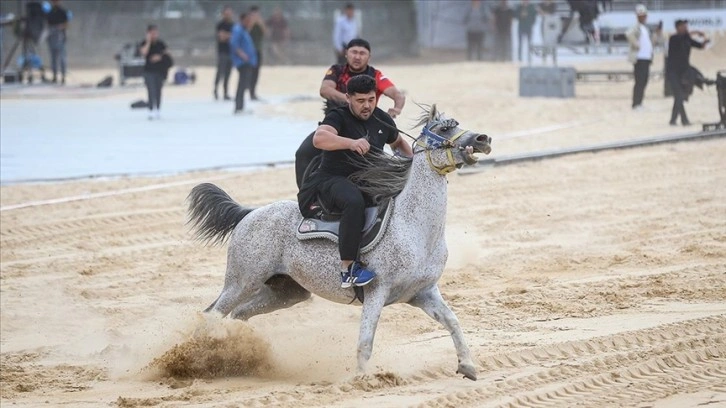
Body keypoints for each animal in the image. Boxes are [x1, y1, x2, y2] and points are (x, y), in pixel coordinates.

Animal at [188, 104, 494, 380]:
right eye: (443, 129)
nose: (483, 139)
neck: (414, 227)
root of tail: (249, 214)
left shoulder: (424, 292)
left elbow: (453, 322)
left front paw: (467, 366)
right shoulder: (377, 292)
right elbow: (366, 340)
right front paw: (362, 379)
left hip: (285, 292)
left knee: (238, 314)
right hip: (243, 281)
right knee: (212, 314)